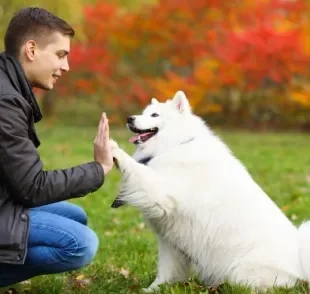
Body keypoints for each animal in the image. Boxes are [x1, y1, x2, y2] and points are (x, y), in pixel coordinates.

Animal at [109, 90, 310, 292]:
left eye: (154, 115)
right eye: (143, 113)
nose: (129, 118)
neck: (176, 145)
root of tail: (301, 267)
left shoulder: (162, 194)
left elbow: (138, 170)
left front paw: (115, 150)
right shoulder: (170, 242)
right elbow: (167, 270)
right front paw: (155, 289)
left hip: (240, 271)